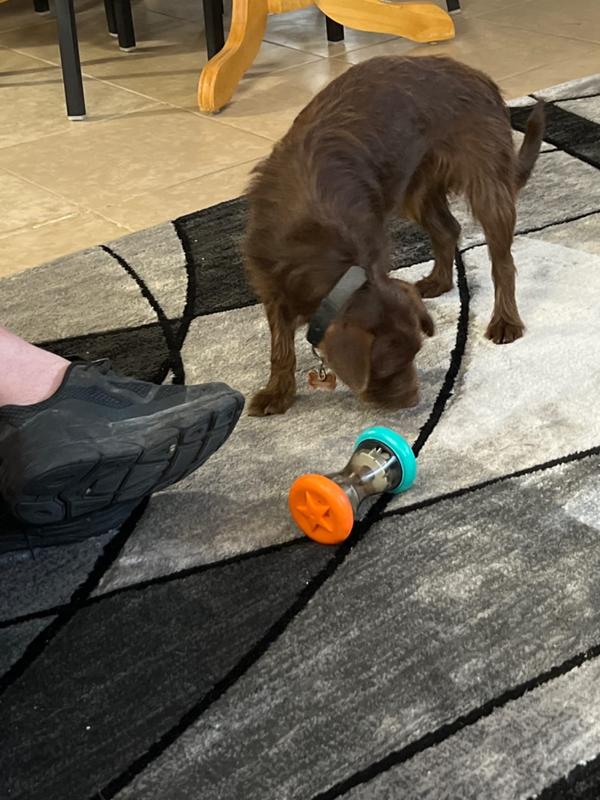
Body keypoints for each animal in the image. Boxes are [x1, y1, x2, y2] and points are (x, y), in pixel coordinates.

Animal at [243, 56, 544, 418]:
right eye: (384, 370)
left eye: (415, 354)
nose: (412, 401)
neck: (313, 238)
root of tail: (477, 74)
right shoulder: (270, 281)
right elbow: (280, 346)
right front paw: (278, 392)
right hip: (415, 189)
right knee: (448, 230)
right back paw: (439, 281)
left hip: (486, 184)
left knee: (502, 262)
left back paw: (505, 321)